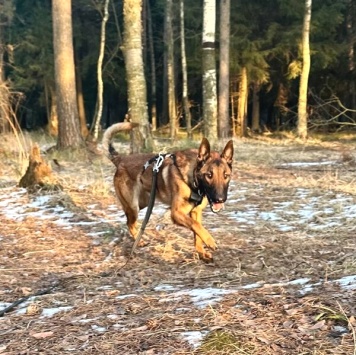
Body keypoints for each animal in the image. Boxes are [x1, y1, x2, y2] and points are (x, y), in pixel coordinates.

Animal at [102, 122, 234, 262]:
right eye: (209, 175)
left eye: (226, 175)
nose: (220, 199)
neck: (193, 179)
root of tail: (120, 160)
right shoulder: (176, 213)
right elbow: (196, 225)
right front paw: (209, 240)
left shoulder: (196, 212)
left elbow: (197, 232)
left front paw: (201, 252)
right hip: (133, 206)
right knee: (129, 223)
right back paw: (140, 241)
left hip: (143, 203)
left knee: (130, 221)